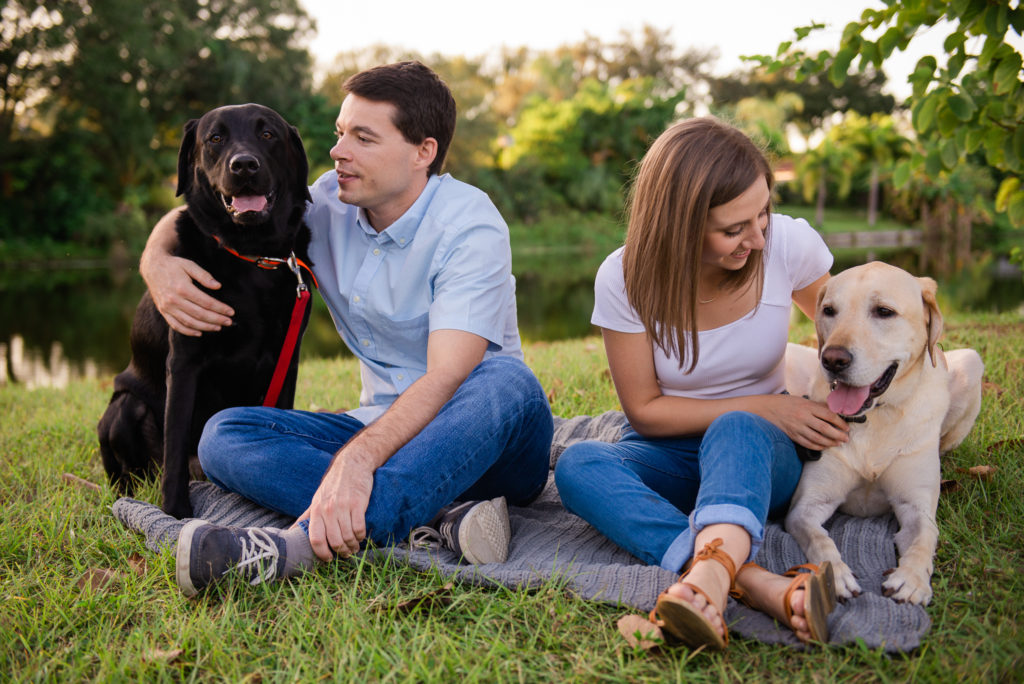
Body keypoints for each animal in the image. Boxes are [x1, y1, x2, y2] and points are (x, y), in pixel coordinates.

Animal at [100, 104, 317, 516]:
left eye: (268, 134)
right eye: (215, 138)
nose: (244, 165)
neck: (252, 255)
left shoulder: (289, 359)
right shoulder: (185, 362)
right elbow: (175, 442)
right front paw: (175, 512)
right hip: (124, 407)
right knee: (132, 470)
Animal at [782, 262, 983, 602]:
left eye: (884, 311)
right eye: (829, 310)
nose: (833, 359)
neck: (874, 417)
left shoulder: (915, 506)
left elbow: (925, 536)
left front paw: (912, 579)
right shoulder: (808, 505)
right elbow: (817, 538)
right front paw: (834, 575)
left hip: (972, 361)